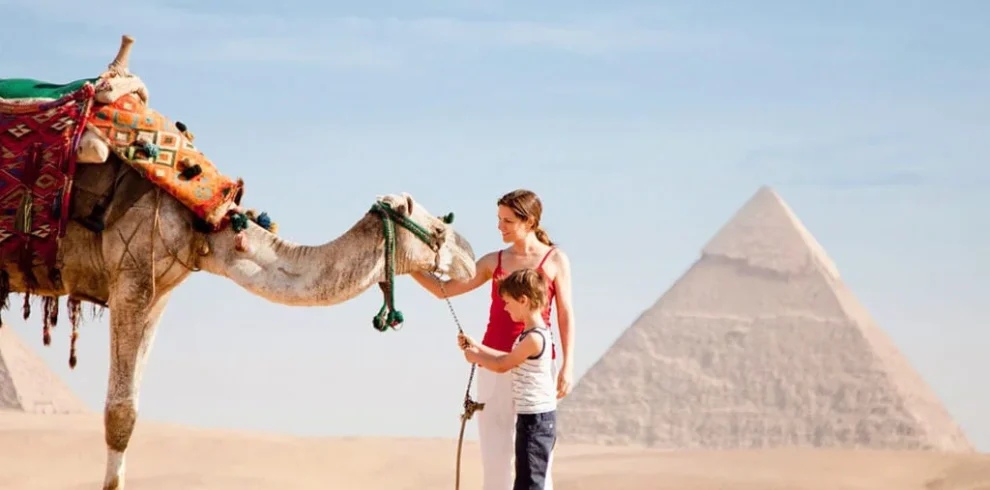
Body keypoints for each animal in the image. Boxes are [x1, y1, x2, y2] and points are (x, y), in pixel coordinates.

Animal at [0, 36, 477, 490]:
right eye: (439, 229)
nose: (471, 258)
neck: (207, 223)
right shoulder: (131, 278)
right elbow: (119, 416)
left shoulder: (156, 292)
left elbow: (131, 409)